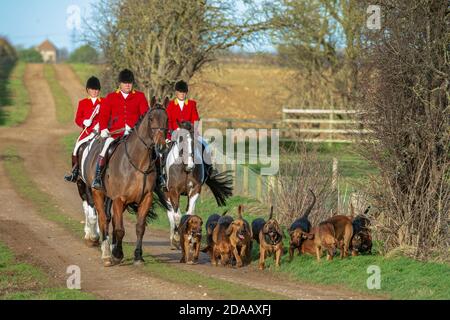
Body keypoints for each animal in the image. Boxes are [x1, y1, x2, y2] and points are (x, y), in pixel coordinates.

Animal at [78, 96, 170, 266]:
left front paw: (138, 256)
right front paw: (117, 253)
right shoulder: (119, 199)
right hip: (97, 192)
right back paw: (106, 253)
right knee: (103, 219)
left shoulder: (145, 198)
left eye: (167, 119)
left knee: (111, 220)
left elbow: (140, 227)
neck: (138, 162)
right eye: (151, 119)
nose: (161, 146)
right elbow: (120, 229)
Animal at [164, 121, 232, 249]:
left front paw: (189, 237)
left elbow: (189, 214)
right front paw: (177, 237)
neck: (184, 168)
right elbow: (177, 216)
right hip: (165, 192)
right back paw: (172, 238)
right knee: (171, 212)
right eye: (181, 139)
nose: (190, 165)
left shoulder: (195, 190)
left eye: (194, 141)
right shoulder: (173, 191)